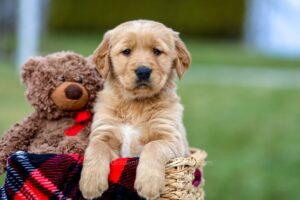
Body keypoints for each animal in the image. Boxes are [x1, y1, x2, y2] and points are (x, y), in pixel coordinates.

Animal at [79, 19, 191, 200]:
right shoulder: (104, 132)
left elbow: (153, 146)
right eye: (126, 51)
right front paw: (91, 183)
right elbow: (96, 148)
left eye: (157, 51)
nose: (143, 71)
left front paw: (148, 185)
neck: (135, 104)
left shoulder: (171, 139)